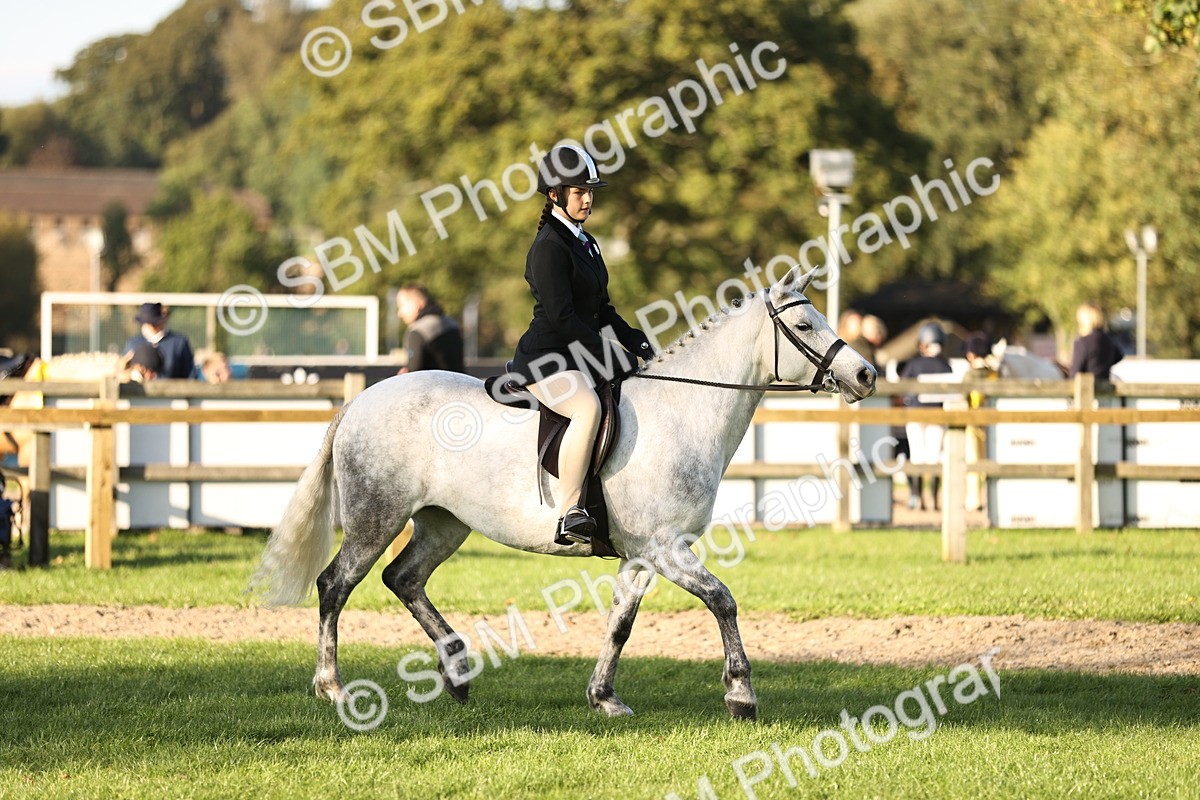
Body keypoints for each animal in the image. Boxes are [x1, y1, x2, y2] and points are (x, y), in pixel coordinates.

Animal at [251, 266, 877, 720]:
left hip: (443, 522)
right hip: (375, 517)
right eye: (805, 327)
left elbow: (621, 624)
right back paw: (333, 688)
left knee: (403, 579)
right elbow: (723, 600)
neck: (683, 408)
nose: (867, 375)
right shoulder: (667, 548)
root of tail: (361, 400)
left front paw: (605, 698)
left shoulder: (642, 555)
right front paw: (741, 695)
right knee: (335, 586)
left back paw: (457, 675)